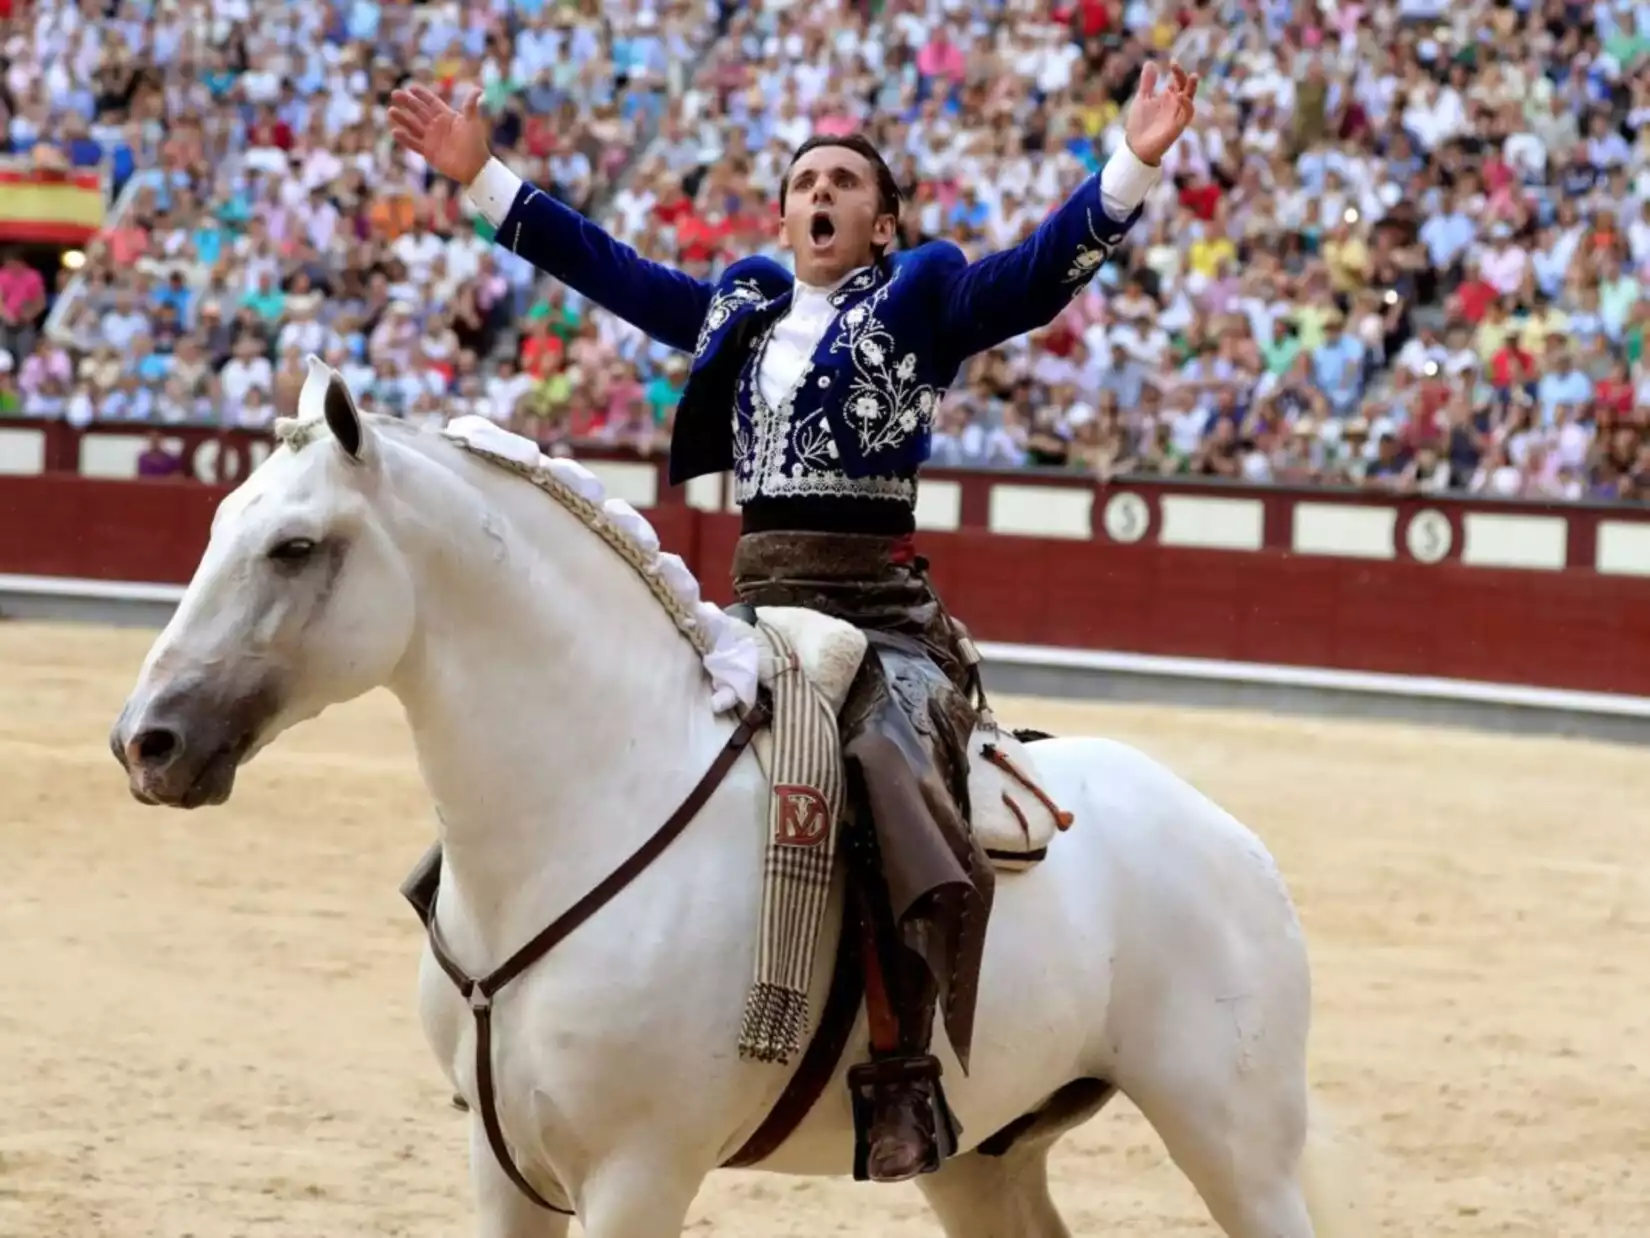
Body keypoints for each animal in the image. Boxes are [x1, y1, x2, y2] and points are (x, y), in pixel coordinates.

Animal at [113, 363, 1353, 1238]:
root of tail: (1237, 842)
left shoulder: (637, 1171)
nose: (145, 741)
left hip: (1237, 1136)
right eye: (216, 525)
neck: (579, 813)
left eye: (295, 545)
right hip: (988, 1151)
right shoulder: (503, 1166)